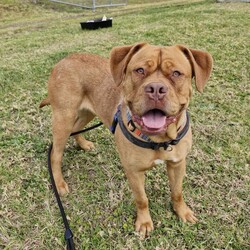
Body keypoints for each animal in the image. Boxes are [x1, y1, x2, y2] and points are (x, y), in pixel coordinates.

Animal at [40, 43, 213, 236]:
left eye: (176, 73)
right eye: (140, 70)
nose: (156, 89)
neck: (158, 139)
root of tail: (64, 60)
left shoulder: (177, 164)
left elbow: (177, 192)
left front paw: (182, 212)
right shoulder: (134, 171)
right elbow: (142, 199)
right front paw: (144, 222)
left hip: (87, 113)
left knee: (77, 128)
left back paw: (84, 144)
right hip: (64, 118)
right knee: (55, 154)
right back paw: (59, 183)